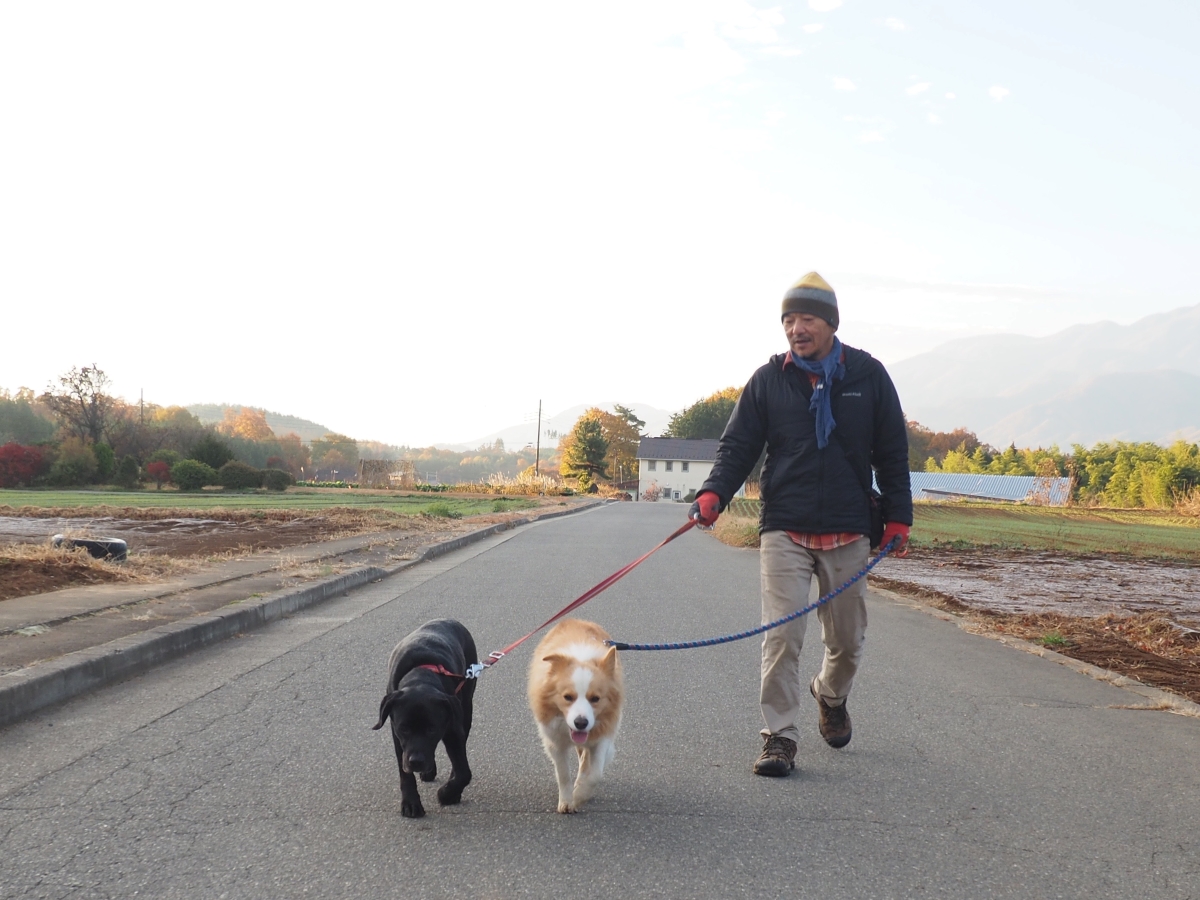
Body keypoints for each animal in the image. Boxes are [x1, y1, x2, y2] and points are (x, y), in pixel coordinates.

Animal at [369, 619, 477, 816]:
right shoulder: (397, 735)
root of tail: (449, 620)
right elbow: (405, 774)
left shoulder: (452, 729)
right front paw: (411, 803)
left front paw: (447, 793)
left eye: (432, 729)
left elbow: (463, 772)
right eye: (404, 729)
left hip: (466, 709)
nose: (416, 762)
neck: (420, 676)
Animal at [528, 619, 624, 816]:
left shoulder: (602, 735)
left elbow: (595, 774)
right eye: (567, 697)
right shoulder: (554, 741)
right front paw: (566, 801)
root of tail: (574, 619)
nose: (581, 723)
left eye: (595, 698)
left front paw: (579, 795)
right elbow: (563, 774)